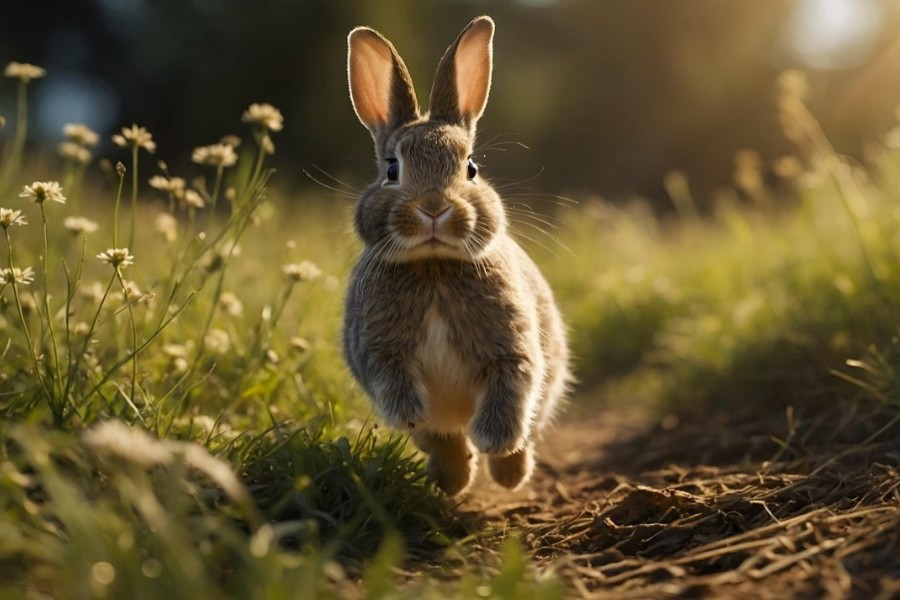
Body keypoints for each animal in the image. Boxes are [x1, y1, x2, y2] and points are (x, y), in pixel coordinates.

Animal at [343, 15, 570, 496]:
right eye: (392, 169)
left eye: (472, 168)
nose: (433, 208)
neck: (433, 267)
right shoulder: (381, 355)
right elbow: (400, 393)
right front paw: (415, 413)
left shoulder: (512, 350)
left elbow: (511, 390)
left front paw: (494, 441)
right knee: (444, 440)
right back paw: (453, 481)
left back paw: (506, 474)